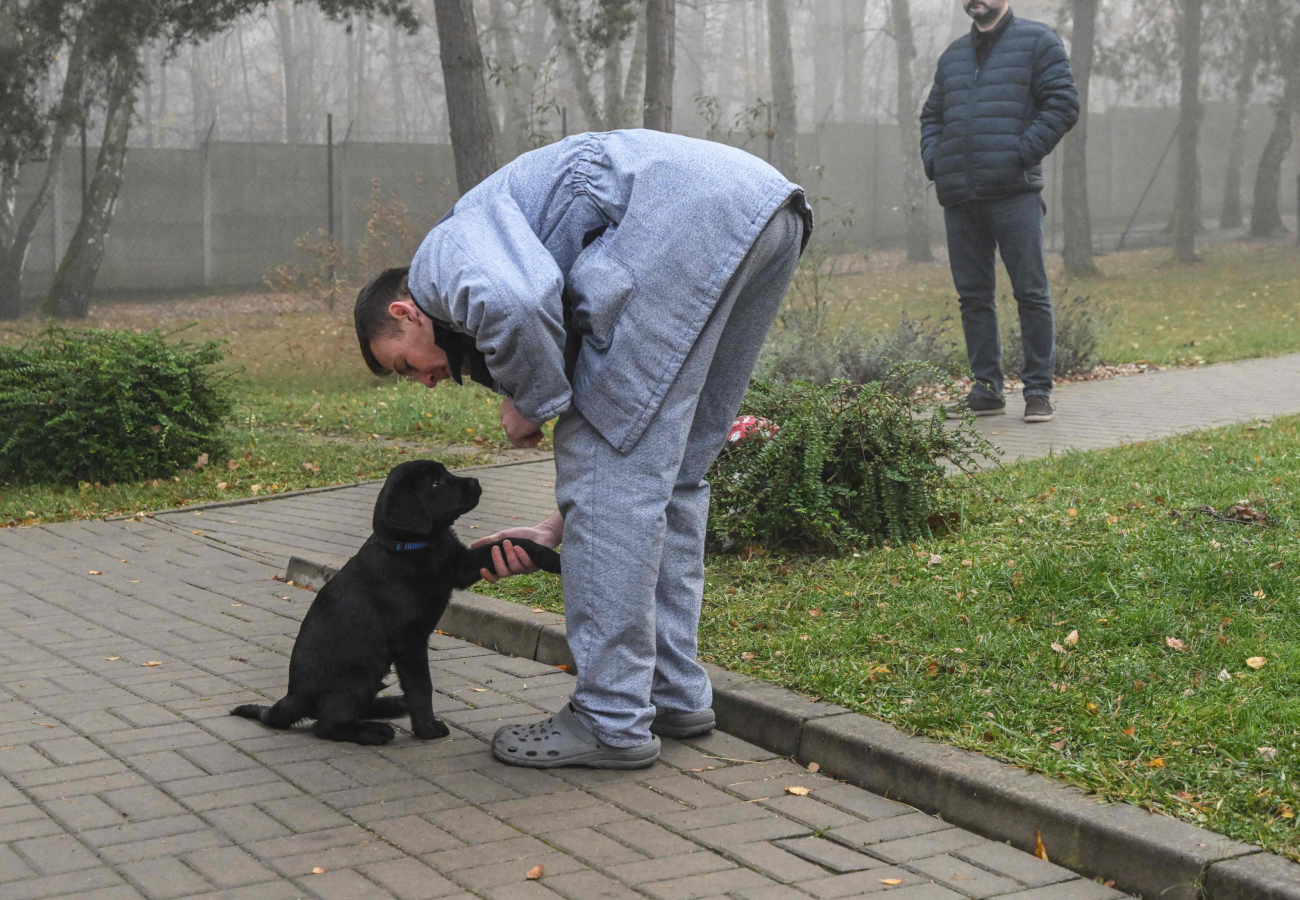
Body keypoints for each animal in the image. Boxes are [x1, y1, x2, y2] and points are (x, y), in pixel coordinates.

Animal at [233, 460, 559, 743]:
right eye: (436, 482)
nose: (476, 482)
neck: (411, 546)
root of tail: (293, 697)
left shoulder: (459, 567)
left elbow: (510, 543)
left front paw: (551, 557)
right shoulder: (409, 641)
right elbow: (421, 687)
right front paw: (427, 729)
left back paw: (391, 705)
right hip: (359, 676)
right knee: (327, 724)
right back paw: (373, 730)